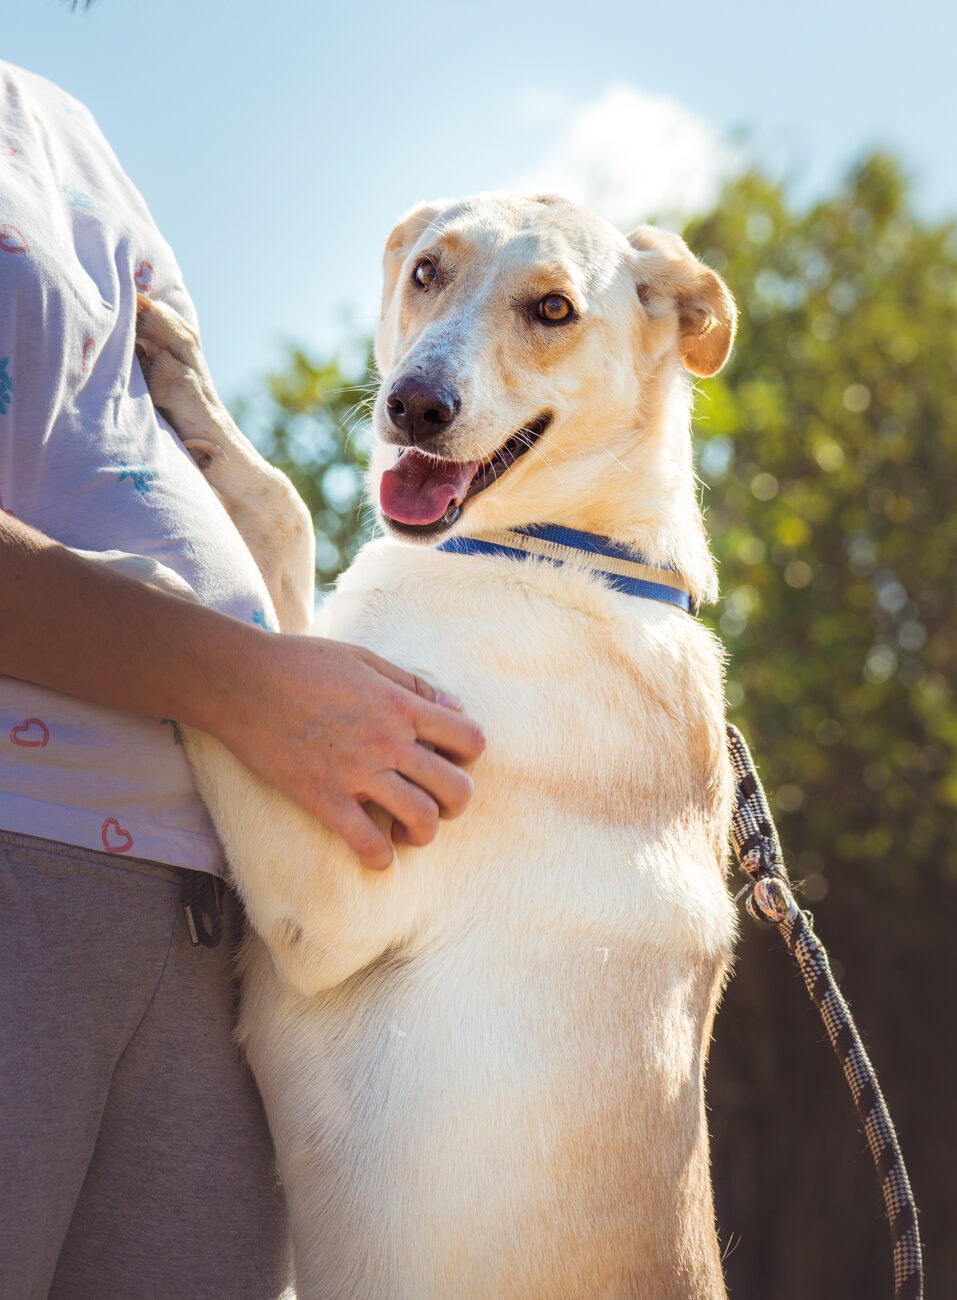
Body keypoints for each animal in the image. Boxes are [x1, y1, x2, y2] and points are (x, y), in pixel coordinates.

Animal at [135, 191, 738, 1299]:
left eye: (553, 308)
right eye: (426, 271)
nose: (413, 406)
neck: (554, 554)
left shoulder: (322, 901)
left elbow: (221, 636)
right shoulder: (324, 664)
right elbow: (281, 517)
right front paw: (188, 385)